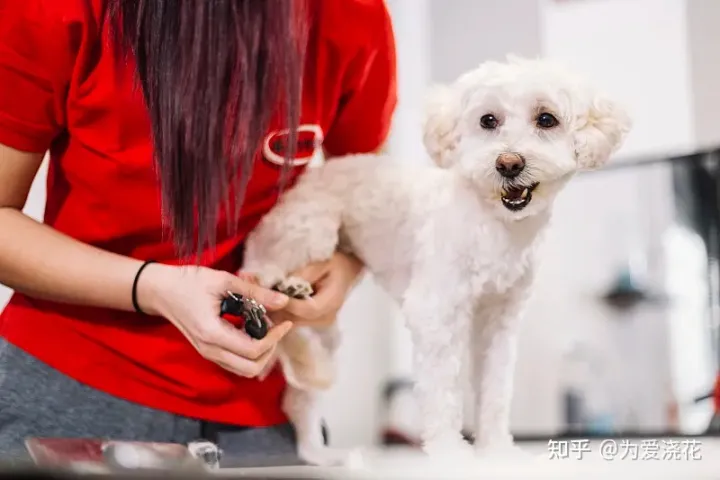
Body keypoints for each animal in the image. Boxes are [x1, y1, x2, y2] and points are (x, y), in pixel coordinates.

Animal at [242, 56, 632, 464]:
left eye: (546, 119)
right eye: (488, 120)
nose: (508, 163)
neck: (494, 225)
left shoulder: (499, 320)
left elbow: (495, 391)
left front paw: (496, 450)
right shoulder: (437, 312)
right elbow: (442, 390)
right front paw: (450, 452)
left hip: (323, 331)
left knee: (300, 399)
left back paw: (319, 454)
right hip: (308, 230)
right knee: (256, 269)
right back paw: (284, 283)